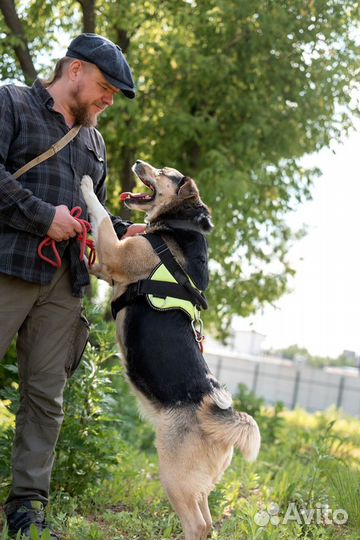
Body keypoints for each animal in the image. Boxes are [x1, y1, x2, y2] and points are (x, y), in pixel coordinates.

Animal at [80, 161, 260, 540]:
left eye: (163, 171)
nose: (138, 162)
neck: (178, 227)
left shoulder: (116, 254)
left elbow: (100, 215)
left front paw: (86, 185)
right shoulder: (108, 265)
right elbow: (95, 244)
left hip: (174, 476)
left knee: (197, 524)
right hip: (197, 483)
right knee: (207, 522)